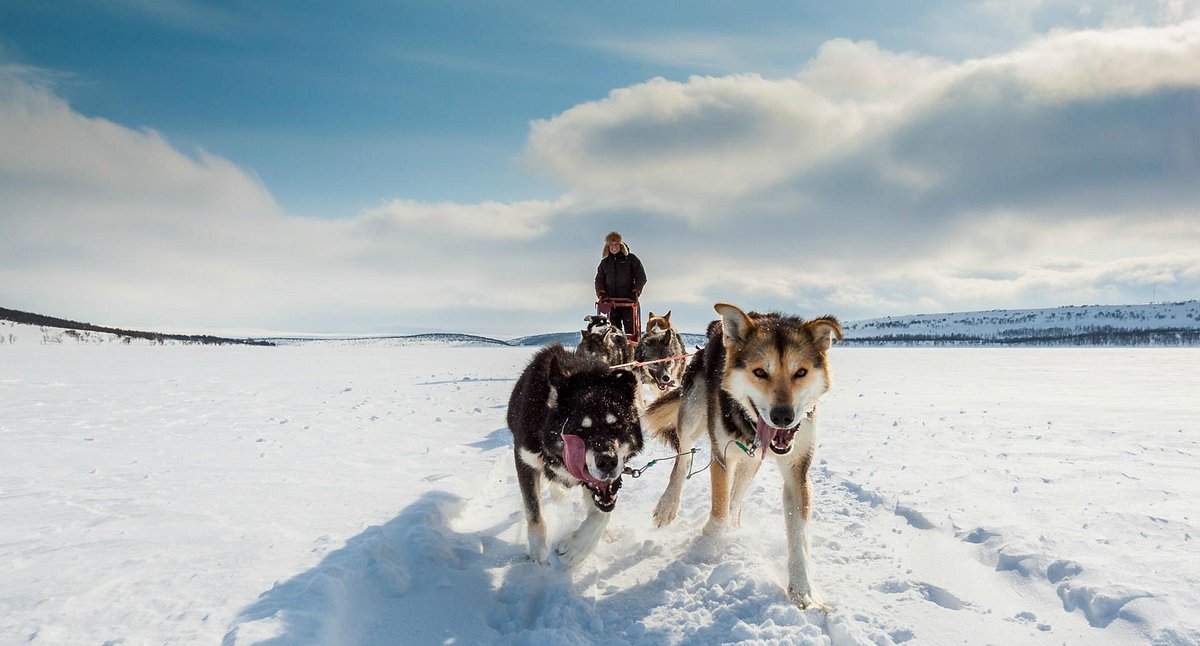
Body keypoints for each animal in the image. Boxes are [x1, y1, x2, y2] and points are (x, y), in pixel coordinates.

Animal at [506, 341, 648, 561]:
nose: (607, 462)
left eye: (618, 426)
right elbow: (533, 509)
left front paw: (578, 548)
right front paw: (538, 553)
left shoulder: (611, 480)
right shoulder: (525, 461)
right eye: (580, 430)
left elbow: (601, 514)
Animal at [638, 303, 844, 605]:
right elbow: (720, 507)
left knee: (737, 496)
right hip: (694, 416)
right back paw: (668, 506)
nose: (783, 416)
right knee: (683, 458)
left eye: (800, 372)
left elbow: (797, 535)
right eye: (759, 372)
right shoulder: (721, 457)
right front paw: (709, 543)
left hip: (750, 460)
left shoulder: (797, 470)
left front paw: (802, 590)